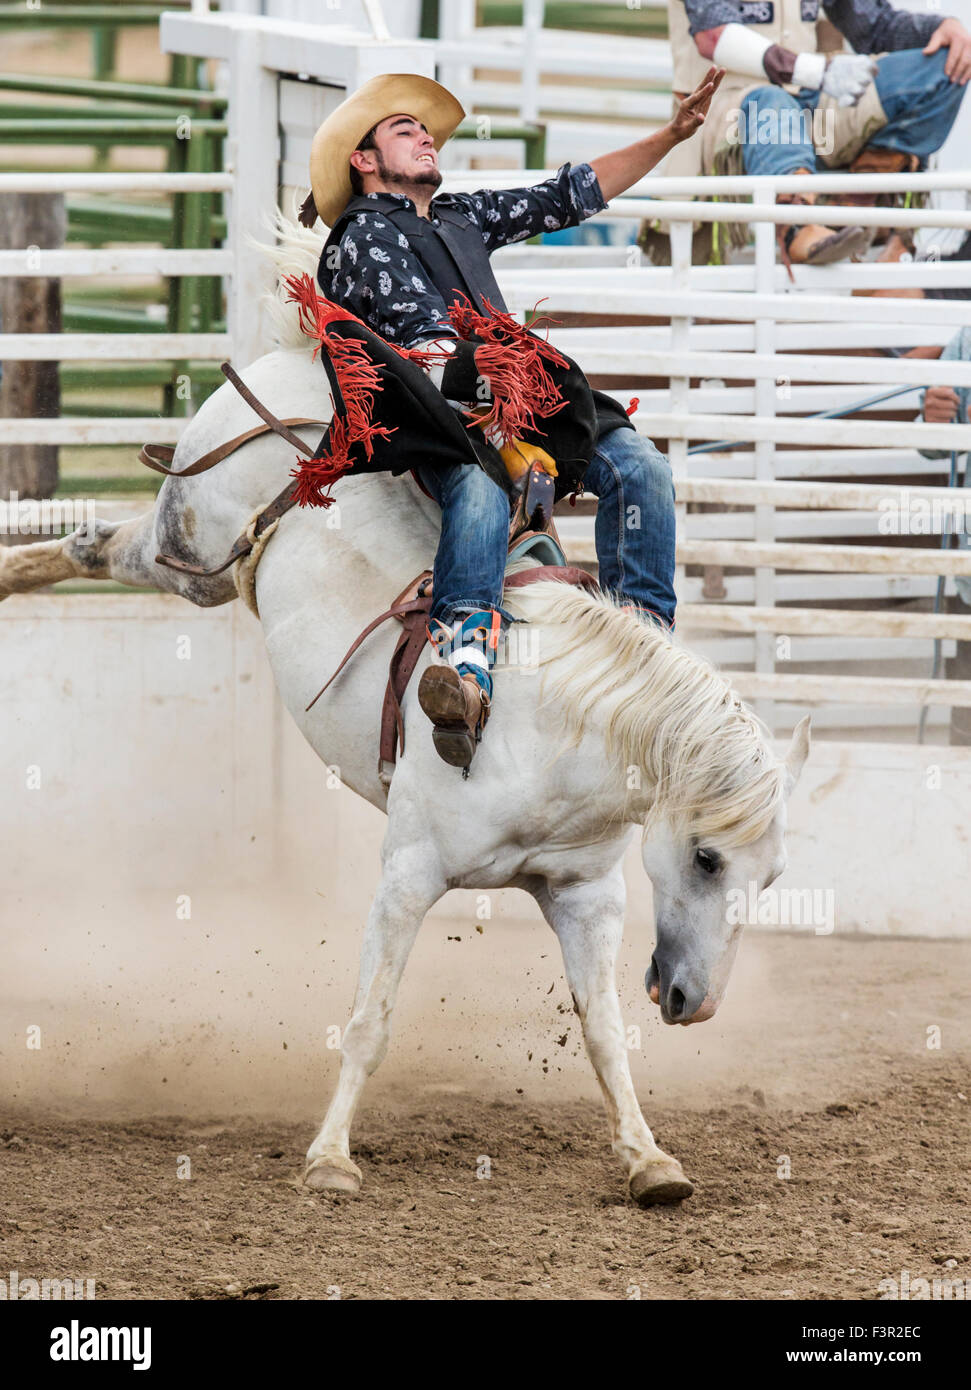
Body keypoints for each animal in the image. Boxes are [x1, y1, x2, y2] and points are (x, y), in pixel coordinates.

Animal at [0, 232, 810, 1206]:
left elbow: (604, 1030)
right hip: (188, 548)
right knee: (97, 547)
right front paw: (328, 1158)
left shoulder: (585, 895)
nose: (698, 1002)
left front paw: (648, 1159)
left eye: (770, 878)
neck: (551, 737)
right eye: (705, 857)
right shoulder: (408, 876)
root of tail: (314, 358)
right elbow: (371, 1019)